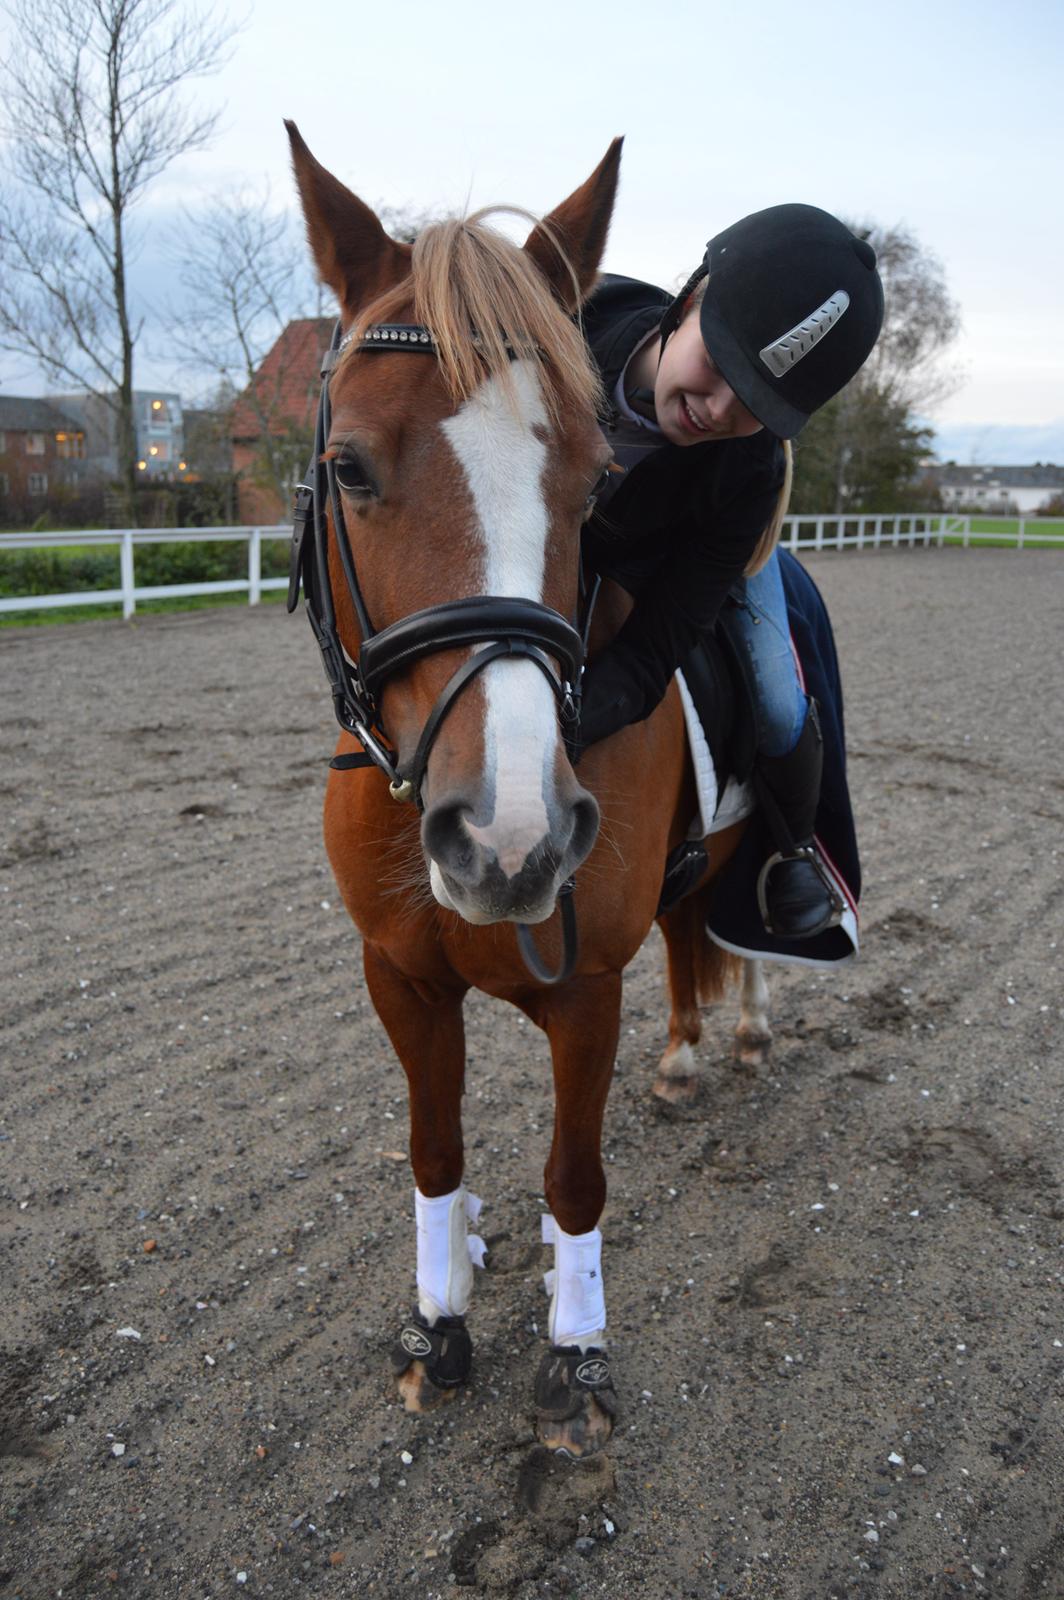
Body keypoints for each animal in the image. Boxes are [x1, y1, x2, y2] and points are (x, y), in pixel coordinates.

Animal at [286, 118, 771, 1459]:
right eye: (348, 466)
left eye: (595, 479)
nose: (509, 840)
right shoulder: (398, 979)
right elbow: (434, 1153)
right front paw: (439, 1318)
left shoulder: (584, 986)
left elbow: (574, 1176)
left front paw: (574, 1350)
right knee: (690, 929)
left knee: (732, 929)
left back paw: (744, 1026)